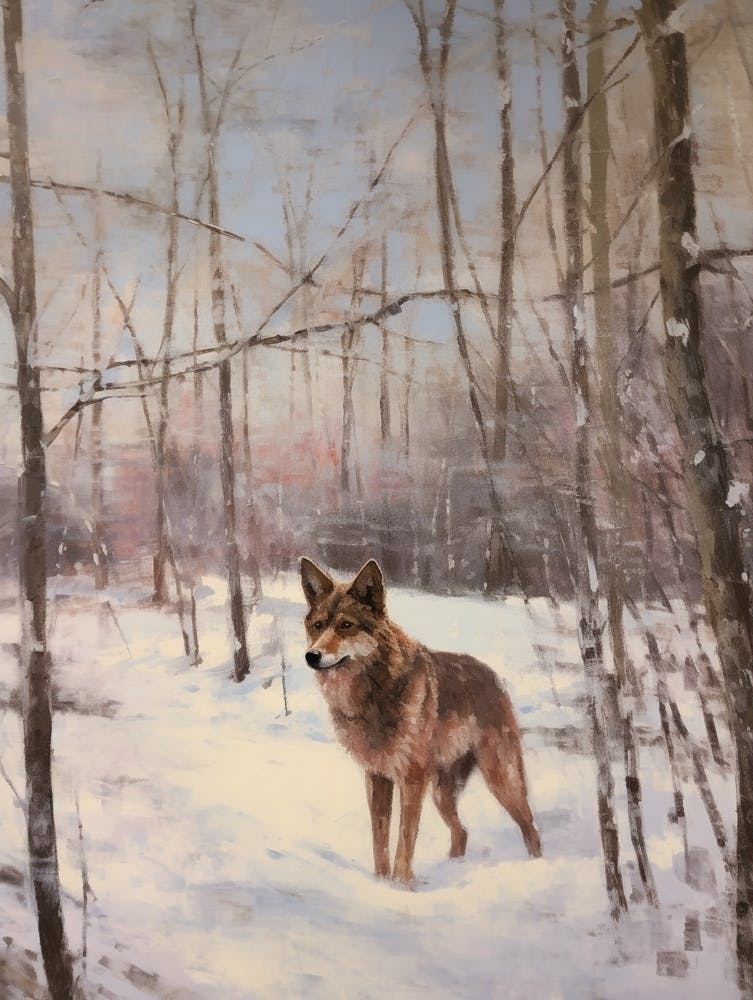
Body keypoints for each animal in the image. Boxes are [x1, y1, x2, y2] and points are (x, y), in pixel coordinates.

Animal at [300, 557, 541, 885]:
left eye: (346, 626)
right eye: (318, 626)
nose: (312, 656)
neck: (374, 693)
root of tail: (491, 675)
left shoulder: (411, 779)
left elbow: (405, 838)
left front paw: (402, 885)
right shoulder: (376, 777)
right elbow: (379, 838)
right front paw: (381, 883)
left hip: (500, 779)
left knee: (530, 827)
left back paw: (537, 866)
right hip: (442, 794)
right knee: (462, 833)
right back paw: (454, 868)